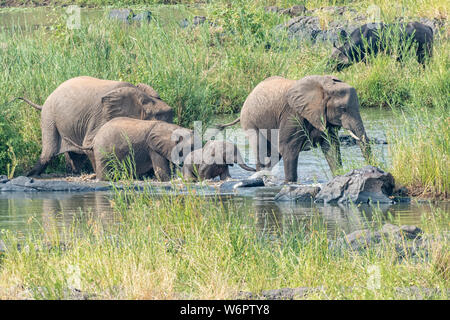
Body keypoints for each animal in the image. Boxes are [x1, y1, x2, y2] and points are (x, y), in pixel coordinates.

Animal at [16, 76, 173, 176]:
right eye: (156, 115)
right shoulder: (101, 116)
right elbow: (90, 144)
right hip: (49, 116)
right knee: (49, 153)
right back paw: (30, 175)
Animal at [218, 74, 372, 182]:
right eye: (342, 109)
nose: (370, 167)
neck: (323, 86)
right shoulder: (292, 114)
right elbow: (288, 148)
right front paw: (290, 183)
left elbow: (332, 147)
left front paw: (338, 176)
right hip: (250, 121)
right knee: (261, 149)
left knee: (273, 155)